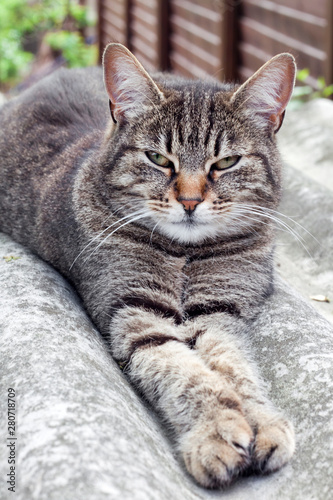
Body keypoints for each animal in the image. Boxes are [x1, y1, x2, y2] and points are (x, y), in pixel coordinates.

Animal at [0, 44, 296, 488]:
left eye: (225, 162)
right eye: (158, 158)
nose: (190, 201)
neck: (185, 254)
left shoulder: (221, 312)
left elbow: (234, 368)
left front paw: (261, 420)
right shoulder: (137, 311)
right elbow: (182, 372)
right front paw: (215, 431)